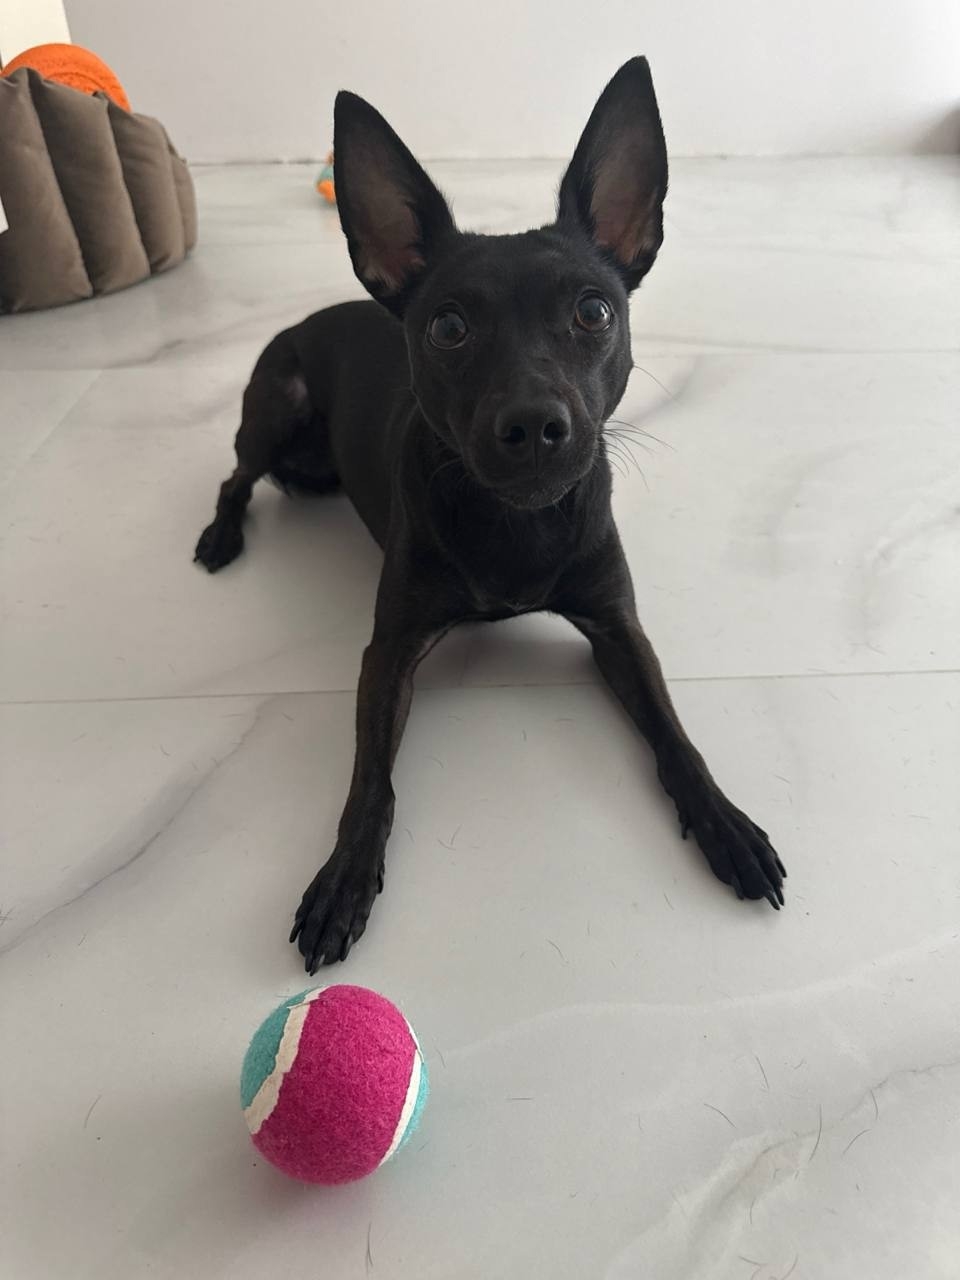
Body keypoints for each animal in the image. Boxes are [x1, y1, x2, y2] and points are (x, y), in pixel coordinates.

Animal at [195, 57, 785, 973]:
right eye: (447, 327)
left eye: (594, 311)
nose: (534, 424)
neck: (516, 523)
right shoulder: (388, 655)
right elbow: (369, 781)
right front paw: (343, 878)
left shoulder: (619, 631)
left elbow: (675, 736)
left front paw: (725, 822)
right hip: (273, 408)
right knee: (235, 478)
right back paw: (223, 535)